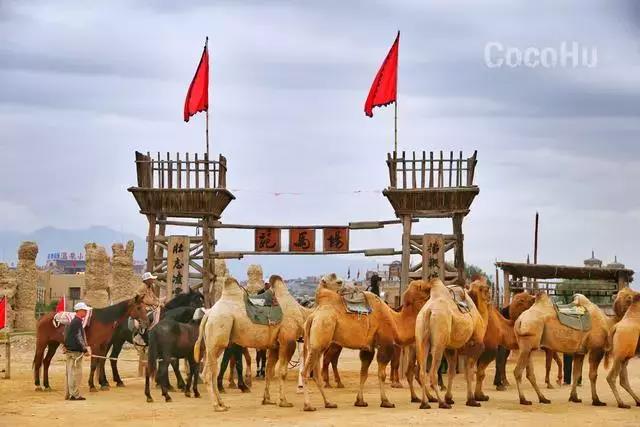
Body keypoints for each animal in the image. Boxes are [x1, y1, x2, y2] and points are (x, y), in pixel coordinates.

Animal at [194, 274, 310, 411]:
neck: (302, 313)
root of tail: (208, 314)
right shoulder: (287, 340)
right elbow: (282, 372)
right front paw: (284, 401)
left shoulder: (275, 345)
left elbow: (269, 371)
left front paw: (267, 400)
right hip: (218, 331)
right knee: (208, 373)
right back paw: (217, 406)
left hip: (211, 342)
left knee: (211, 371)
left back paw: (222, 403)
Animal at [301, 279, 431, 411]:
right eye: (426, 288)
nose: (433, 285)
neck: (395, 321)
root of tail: (313, 316)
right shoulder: (386, 343)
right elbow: (381, 374)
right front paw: (386, 401)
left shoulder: (368, 348)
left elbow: (363, 374)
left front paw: (360, 401)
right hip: (321, 335)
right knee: (305, 372)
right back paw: (308, 405)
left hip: (315, 342)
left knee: (316, 374)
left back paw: (329, 403)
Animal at [414, 277, 488, 409]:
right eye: (487, 288)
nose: (490, 297)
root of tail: (428, 311)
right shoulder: (476, 344)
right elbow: (469, 371)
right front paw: (472, 400)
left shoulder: (450, 348)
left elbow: (451, 371)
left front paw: (449, 398)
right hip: (439, 337)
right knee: (432, 372)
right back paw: (442, 403)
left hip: (420, 335)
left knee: (422, 372)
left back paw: (425, 403)